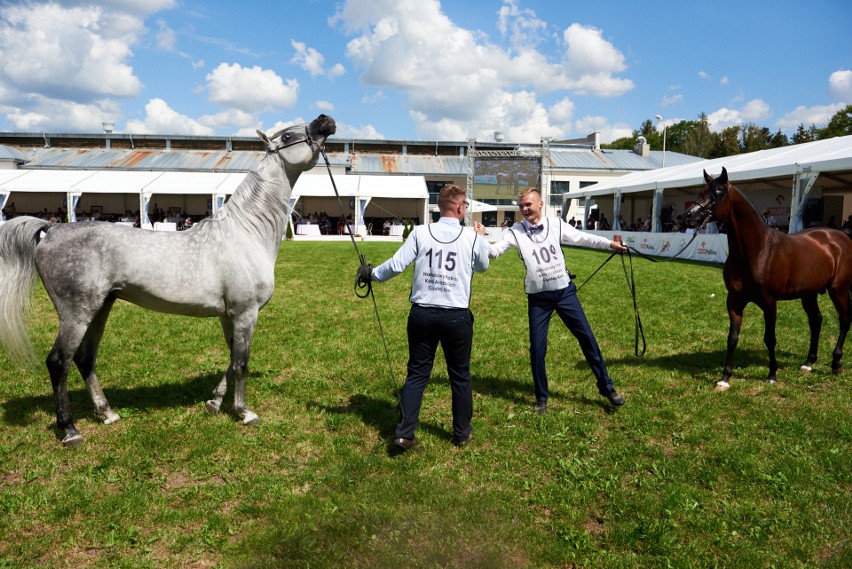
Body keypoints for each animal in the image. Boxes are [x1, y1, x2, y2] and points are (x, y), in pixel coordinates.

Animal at [0, 114, 338, 444]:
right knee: (59, 362)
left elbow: (231, 359)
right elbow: (241, 362)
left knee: (85, 358)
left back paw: (107, 412)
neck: (245, 233)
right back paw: (70, 429)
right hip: (76, 314)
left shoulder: (229, 315)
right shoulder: (246, 313)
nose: (326, 120)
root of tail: (52, 229)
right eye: (286, 136)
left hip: (100, 308)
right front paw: (244, 412)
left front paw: (214, 402)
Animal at [684, 166, 852, 390]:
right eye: (700, 192)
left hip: (838, 290)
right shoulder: (734, 301)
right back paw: (808, 363)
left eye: (717, 194)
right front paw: (724, 378)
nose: (688, 217)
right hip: (809, 294)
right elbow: (732, 338)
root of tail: (841, 238)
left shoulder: (769, 302)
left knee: (844, 319)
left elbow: (770, 338)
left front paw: (772, 374)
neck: (757, 250)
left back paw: (836, 363)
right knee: (816, 321)